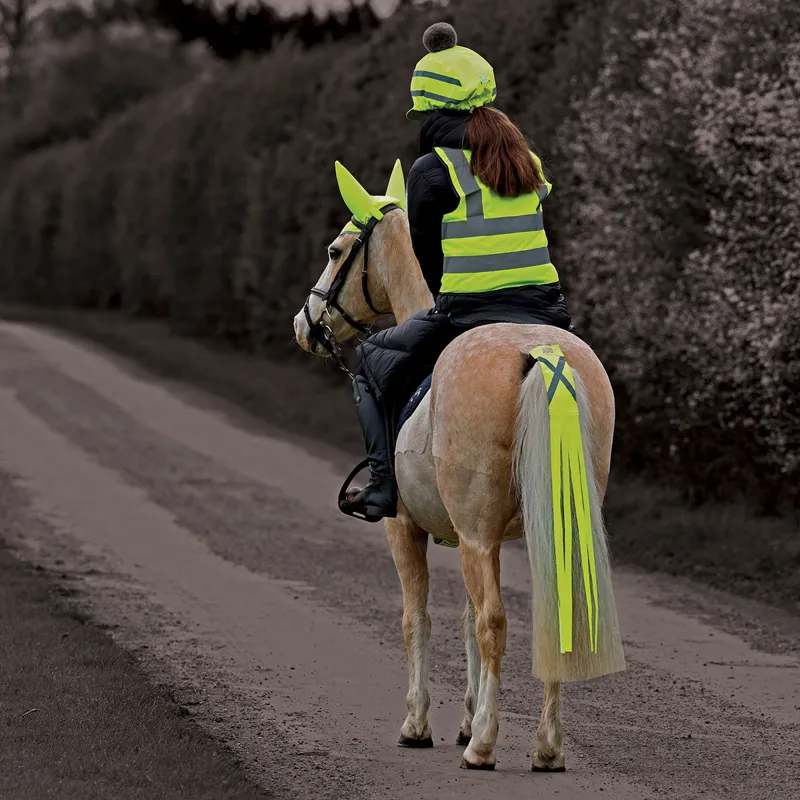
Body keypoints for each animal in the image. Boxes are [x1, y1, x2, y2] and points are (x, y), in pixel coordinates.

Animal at [293, 159, 626, 771]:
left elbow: (419, 618)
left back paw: (485, 746)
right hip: (539, 528)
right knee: (549, 616)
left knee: (494, 620)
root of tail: (542, 355)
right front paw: (467, 716)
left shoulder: (409, 529)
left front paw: (420, 724)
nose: (304, 324)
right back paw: (546, 748)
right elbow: (467, 620)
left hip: (471, 532)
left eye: (335, 250)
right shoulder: (481, 538)